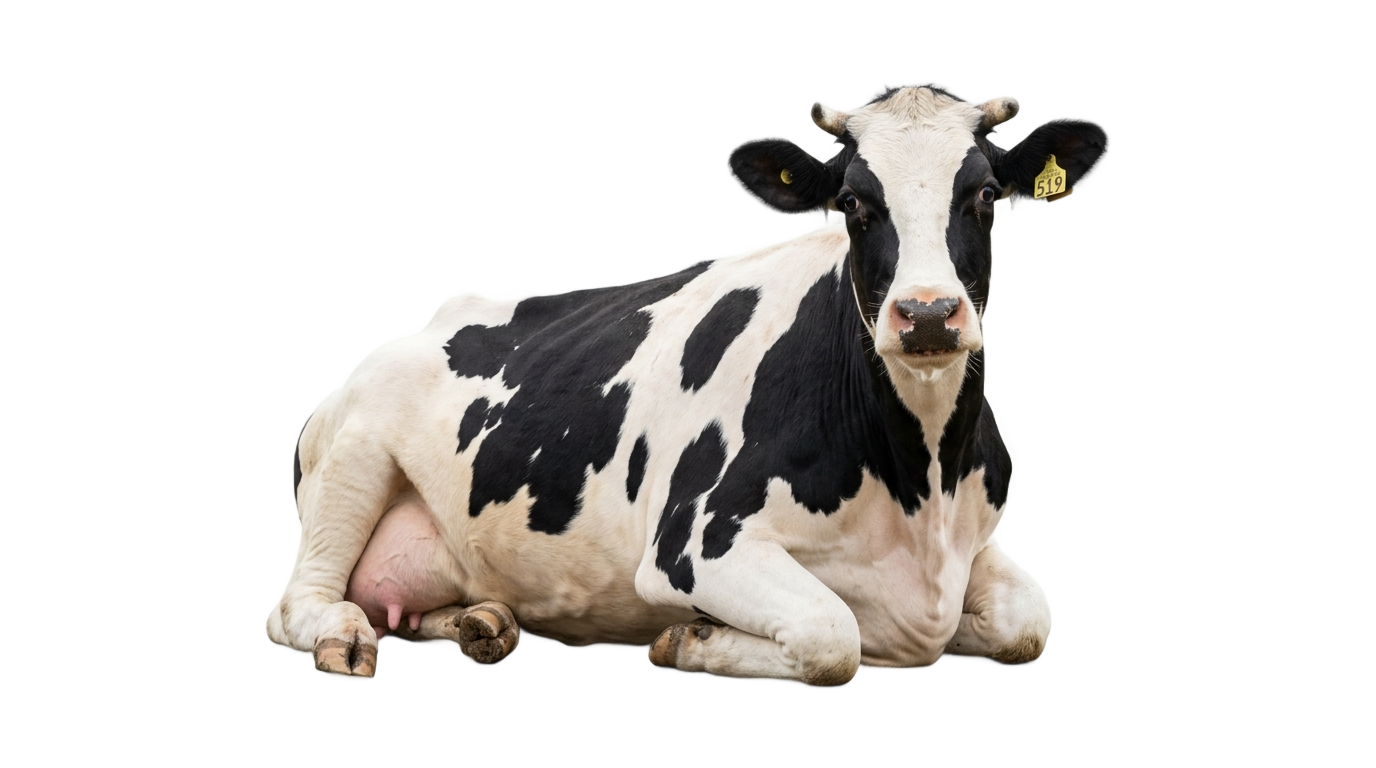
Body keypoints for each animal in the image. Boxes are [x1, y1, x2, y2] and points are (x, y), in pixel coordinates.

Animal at [267, 85, 1107, 684]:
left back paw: (489, 625)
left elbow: (1026, 624)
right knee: (298, 603)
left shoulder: (976, 541)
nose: (928, 313)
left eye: (986, 194)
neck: (920, 485)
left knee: (410, 609)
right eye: (852, 202)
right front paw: (690, 641)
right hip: (352, 457)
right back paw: (345, 636)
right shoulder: (697, 544)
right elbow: (833, 635)